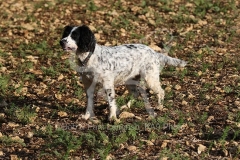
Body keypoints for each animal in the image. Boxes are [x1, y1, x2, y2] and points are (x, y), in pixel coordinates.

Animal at [59, 24, 187, 120]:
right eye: (66, 34)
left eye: (75, 35)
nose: (61, 41)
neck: (89, 57)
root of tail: (154, 52)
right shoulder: (88, 85)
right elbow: (89, 103)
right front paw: (86, 116)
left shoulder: (108, 85)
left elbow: (111, 103)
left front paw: (112, 118)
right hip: (130, 81)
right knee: (135, 94)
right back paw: (127, 106)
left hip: (150, 79)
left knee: (161, 91)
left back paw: (159, 107)